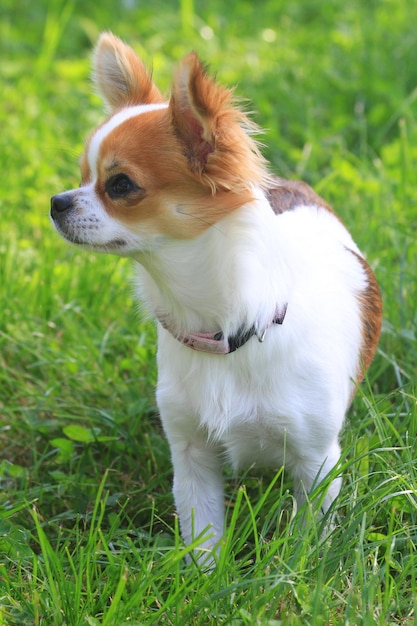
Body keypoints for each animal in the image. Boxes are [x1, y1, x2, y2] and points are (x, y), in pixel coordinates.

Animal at [50, 31, 382, 564]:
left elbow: (308, 537)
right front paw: (205, 576)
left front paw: (296, 567)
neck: (225, 329)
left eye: (120, 185)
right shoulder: (191, 454)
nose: (56, 202)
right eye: (82, 176)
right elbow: (202, 534)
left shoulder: (316, 462)